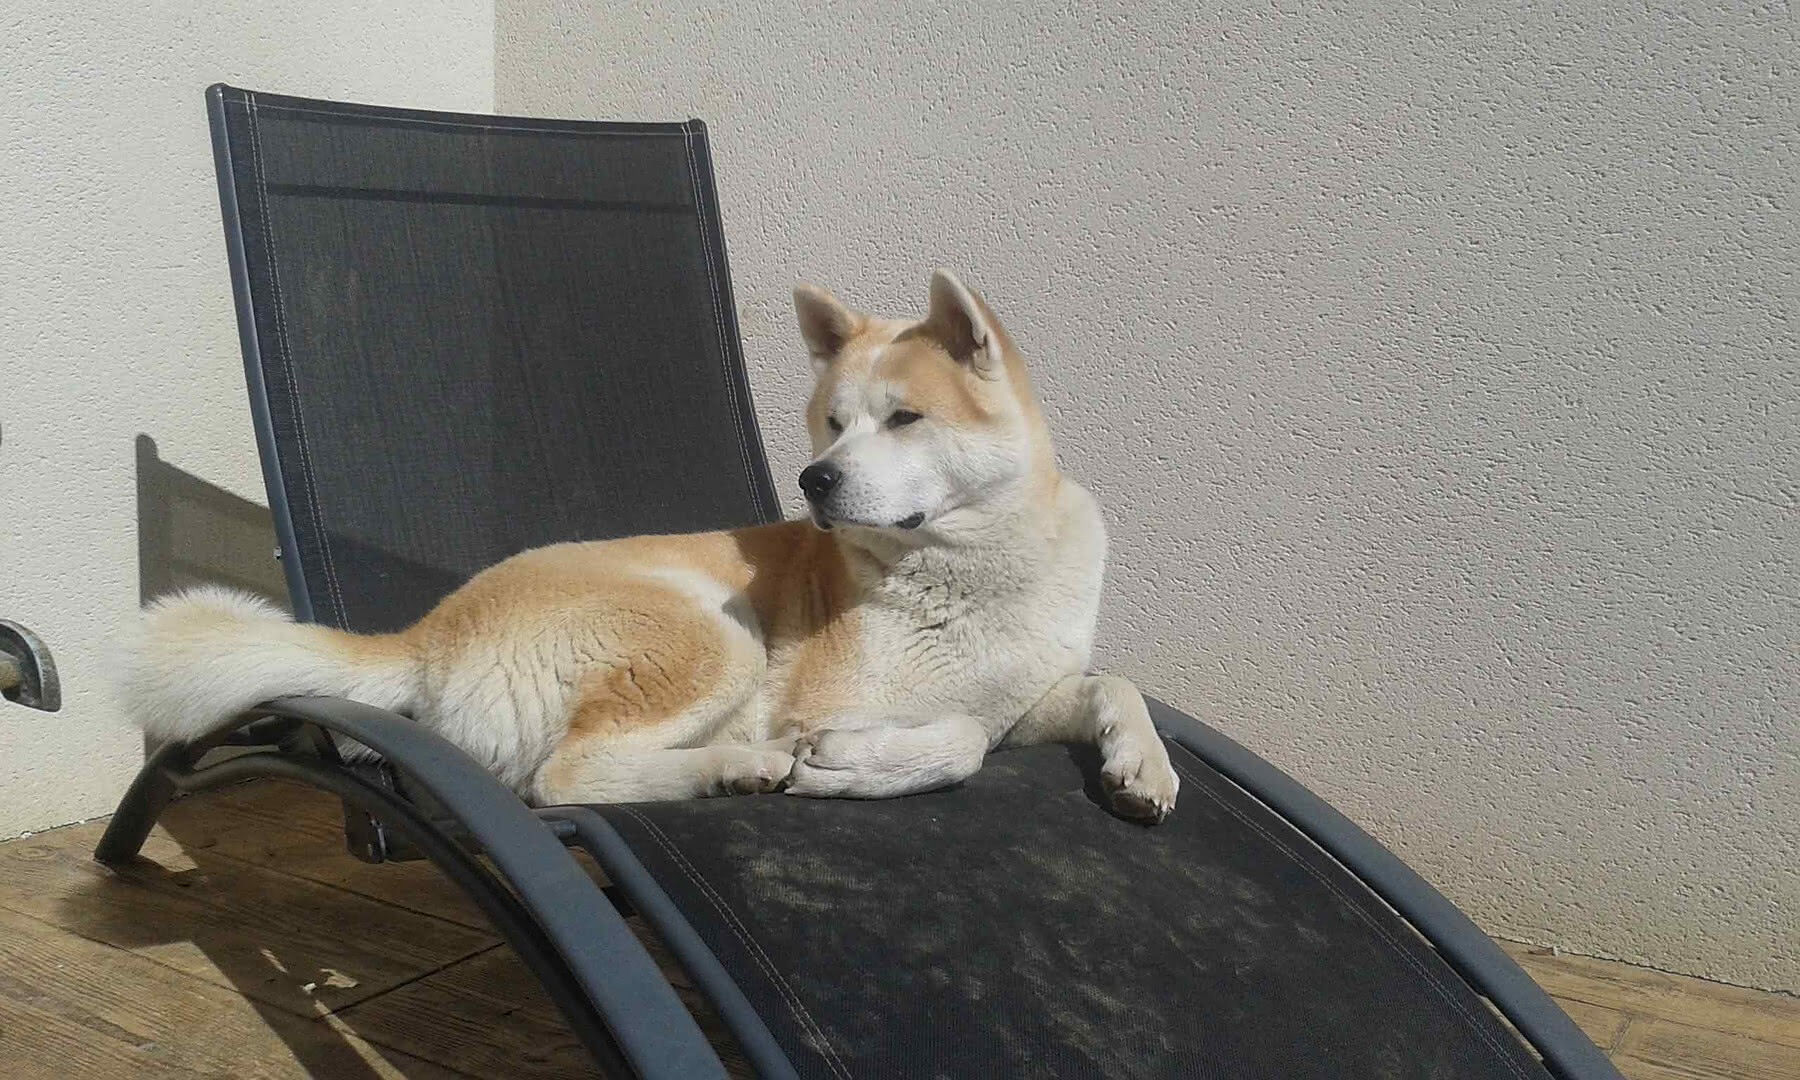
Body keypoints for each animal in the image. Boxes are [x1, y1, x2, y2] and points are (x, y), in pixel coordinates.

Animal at [123, 271, 1180, 822]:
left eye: (905, 418)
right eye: (832, 424)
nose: (815, 481)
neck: (977, 570)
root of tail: (428, 633)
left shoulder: (1029, 697)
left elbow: (1106, 687)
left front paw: (1144, 768)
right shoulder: (839, 698)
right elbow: (956, 742)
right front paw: (847, 762)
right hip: (716, 635)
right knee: (563, 779)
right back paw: (736, 765)